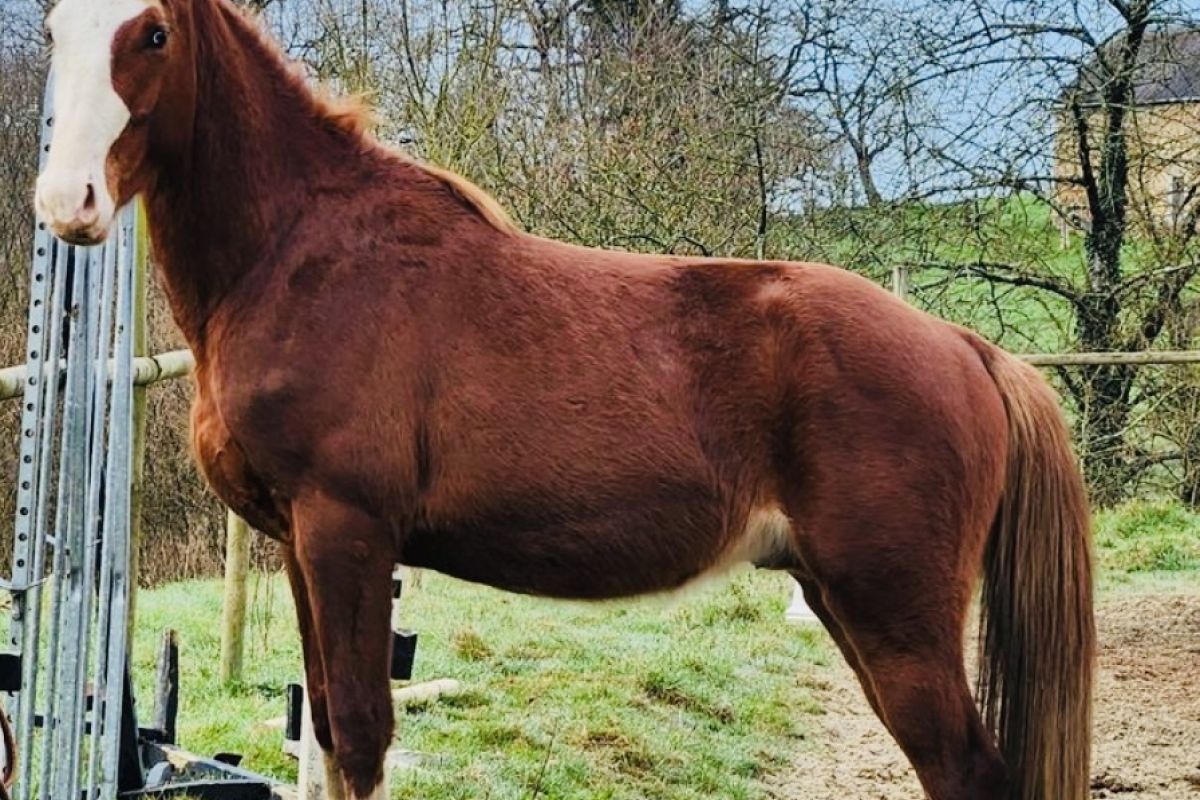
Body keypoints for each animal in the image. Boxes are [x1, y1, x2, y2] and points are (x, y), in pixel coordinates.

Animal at [33, 0, 1094, 797]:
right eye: (52, 25)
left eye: (154, 32)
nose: (66, 203)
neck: (299, 255)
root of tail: (969, 348)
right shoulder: (299, 545)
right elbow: (328, 735)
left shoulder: (345, 531)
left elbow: (365, 739)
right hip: (844, 602)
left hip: (897, 618)